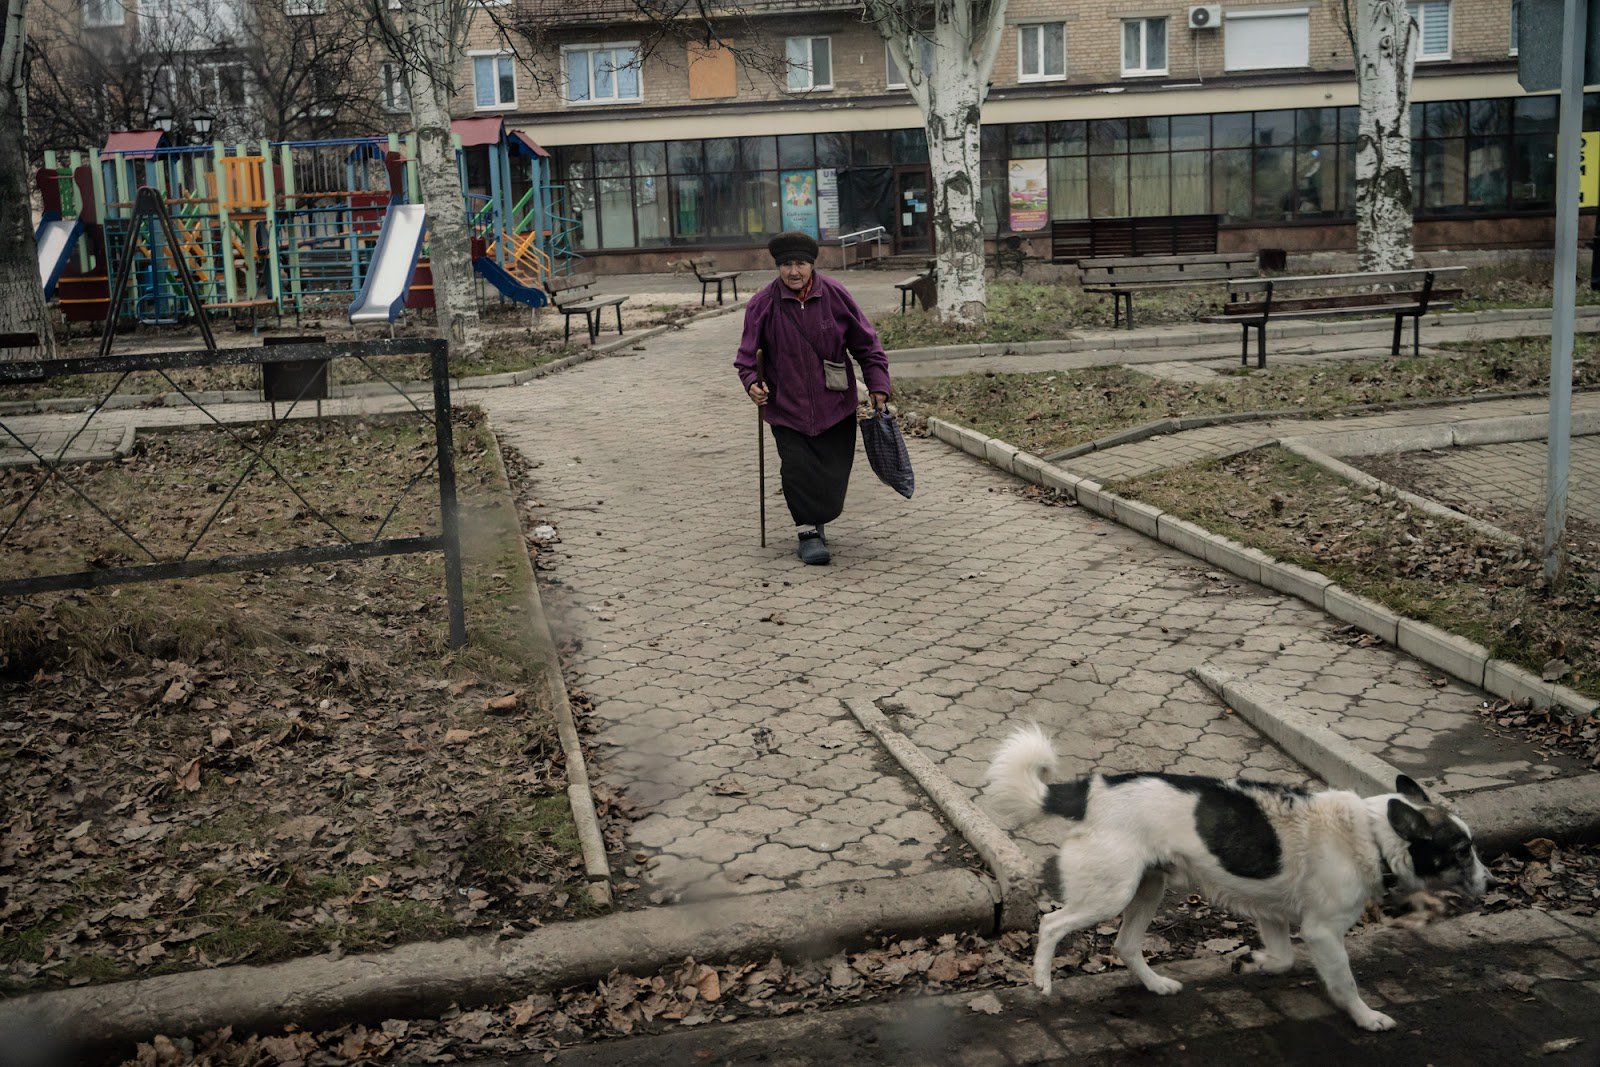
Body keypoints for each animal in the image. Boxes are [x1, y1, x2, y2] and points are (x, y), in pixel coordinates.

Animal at [979, 723, 1491, 1030]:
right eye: (1462, 852)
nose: (1493, 884)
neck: (1369, 835)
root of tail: (1092, 790)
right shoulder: (1323, 932)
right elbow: (1344, 982)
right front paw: (1366, 1017)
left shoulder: (1273, 916)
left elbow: (1282, 959)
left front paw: (1250, 961)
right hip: (1109, 894)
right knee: (1052, 924)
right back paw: (1042, 980)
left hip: (1148, 888)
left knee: (1125, 945)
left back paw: (1156, 985)